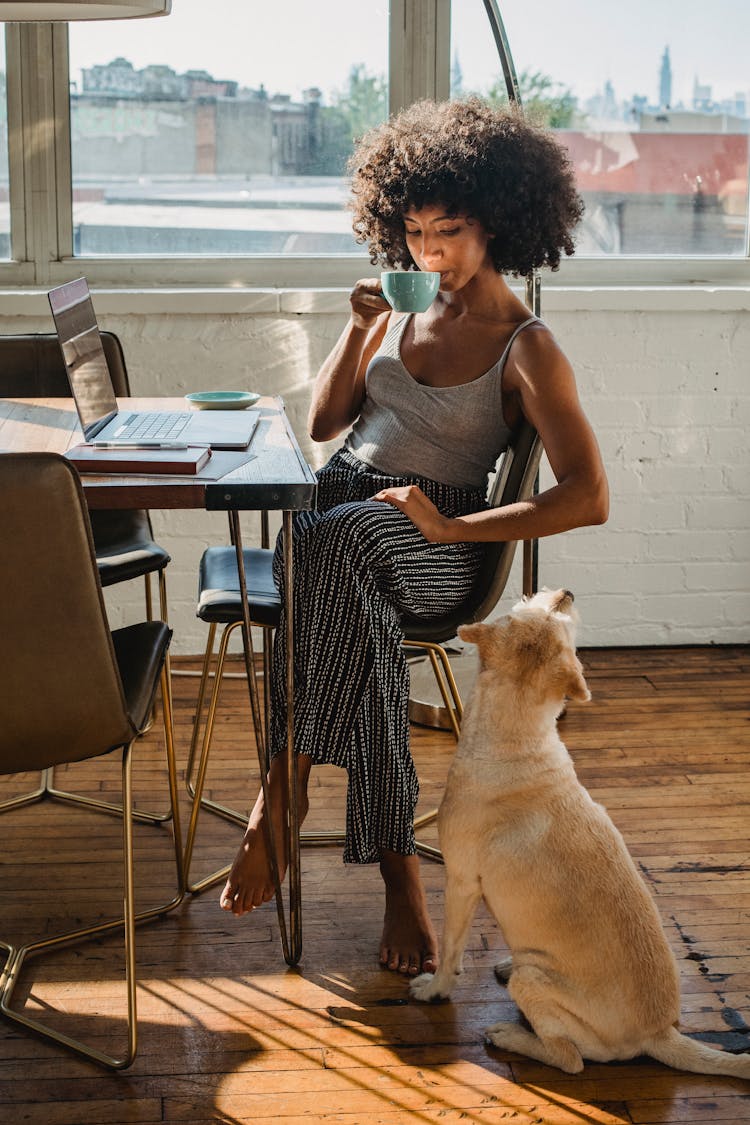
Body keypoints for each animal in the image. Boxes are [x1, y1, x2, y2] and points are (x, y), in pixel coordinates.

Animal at [411, 589, 750, 1071]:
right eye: (549, 610)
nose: (567, 592)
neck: (517, 741)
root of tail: (659, 1033)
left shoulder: (460, 881)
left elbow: (450, 949)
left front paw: (435, 989)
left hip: (535, 985)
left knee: (569, 1058)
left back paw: (511, 1036)